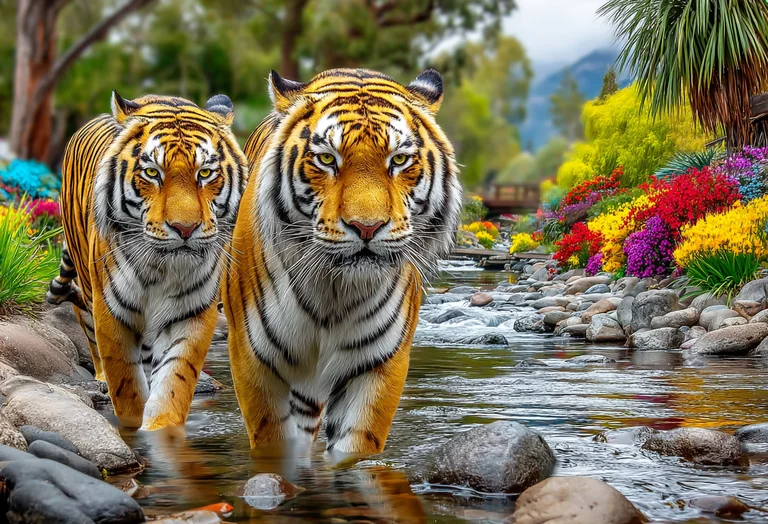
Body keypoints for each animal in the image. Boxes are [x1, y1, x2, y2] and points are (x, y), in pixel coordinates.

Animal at [47, 92, 248, 430]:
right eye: (152, 173)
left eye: (205, 173)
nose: (185, 229)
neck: (162, 268)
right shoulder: (112, 311)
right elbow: (125, 383)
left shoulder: (192, 313)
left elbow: (174, 382)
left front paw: (160, 429)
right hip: (87, 291)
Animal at [222, 68, 461, 454]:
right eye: (326, 159)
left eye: (398, 160)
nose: (367, 227)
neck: (333, 291)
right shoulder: (254, 359)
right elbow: (274, 444)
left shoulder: (378, 364)